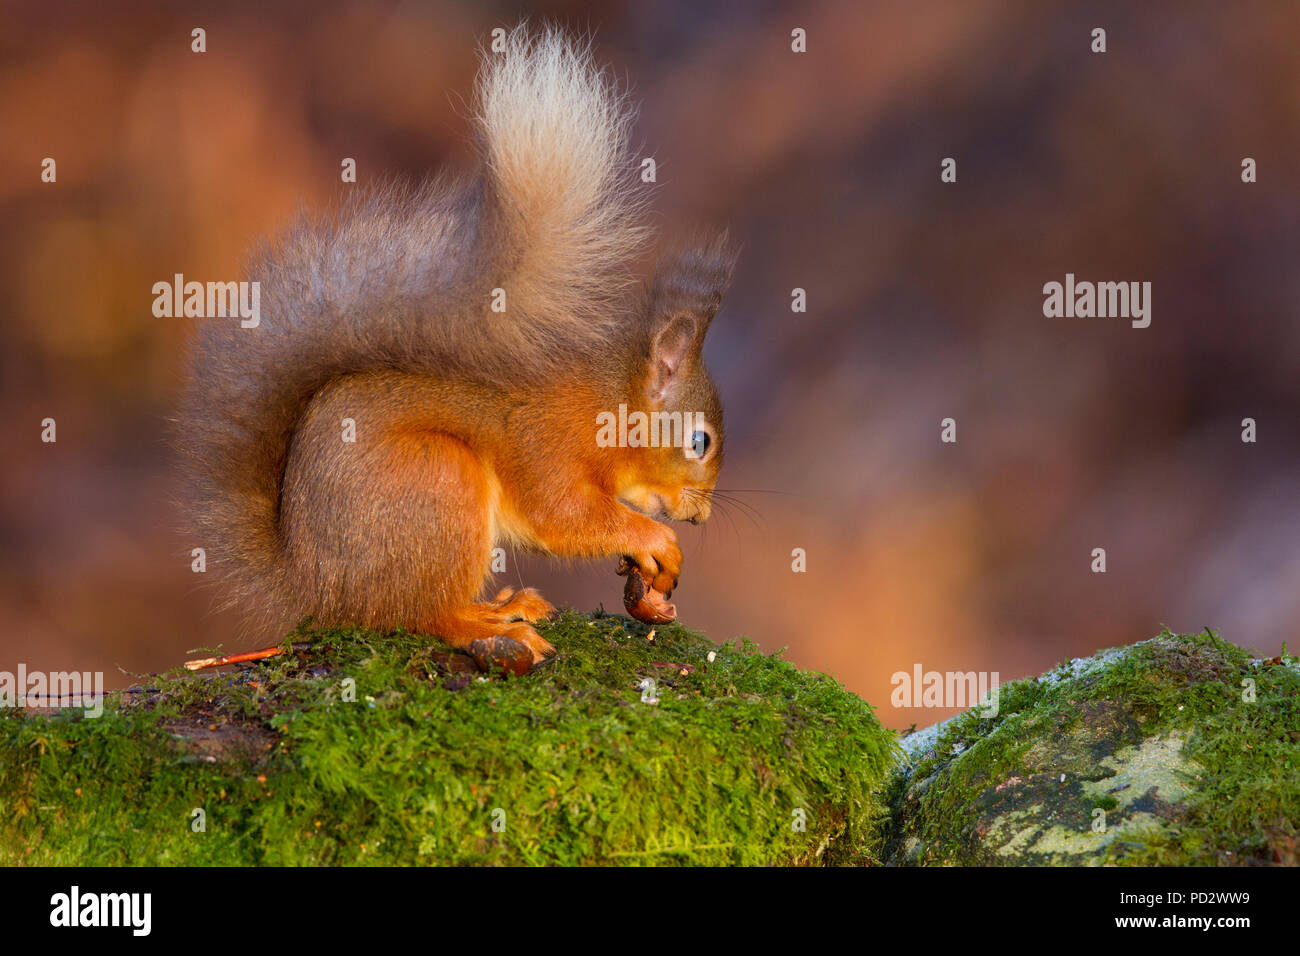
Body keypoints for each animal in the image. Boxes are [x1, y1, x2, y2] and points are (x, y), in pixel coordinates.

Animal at [179, 24, 738, 671]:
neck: (608, 402)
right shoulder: (548, 441)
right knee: (422, 615)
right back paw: (490, 626)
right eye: (699, 441)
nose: (700, 515)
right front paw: (655, 539)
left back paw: (508, 604)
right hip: (439, 483)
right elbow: (563, 514)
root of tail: (316, 586)